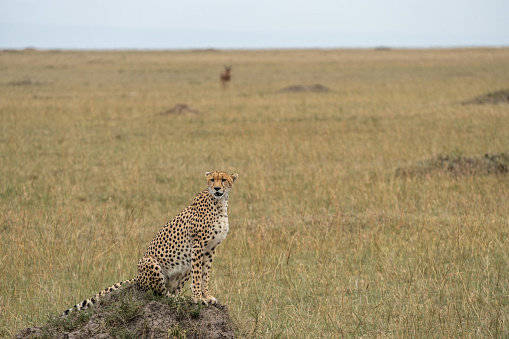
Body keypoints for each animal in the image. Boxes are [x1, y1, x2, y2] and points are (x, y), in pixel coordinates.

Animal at [62, 171, 238, 318]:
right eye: (212, 179)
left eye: (223, 180)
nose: (216, 188)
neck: (220, 203)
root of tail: (137, 276)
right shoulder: (198, 245)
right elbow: (197, 276)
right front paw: (198, 298)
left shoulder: (210, 248)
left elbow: (205, 274)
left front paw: (206, 295)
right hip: (150, 261)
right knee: (160, 294)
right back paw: (179, 299)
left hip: (185, 264)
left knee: (172, 290)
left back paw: (179, 297)